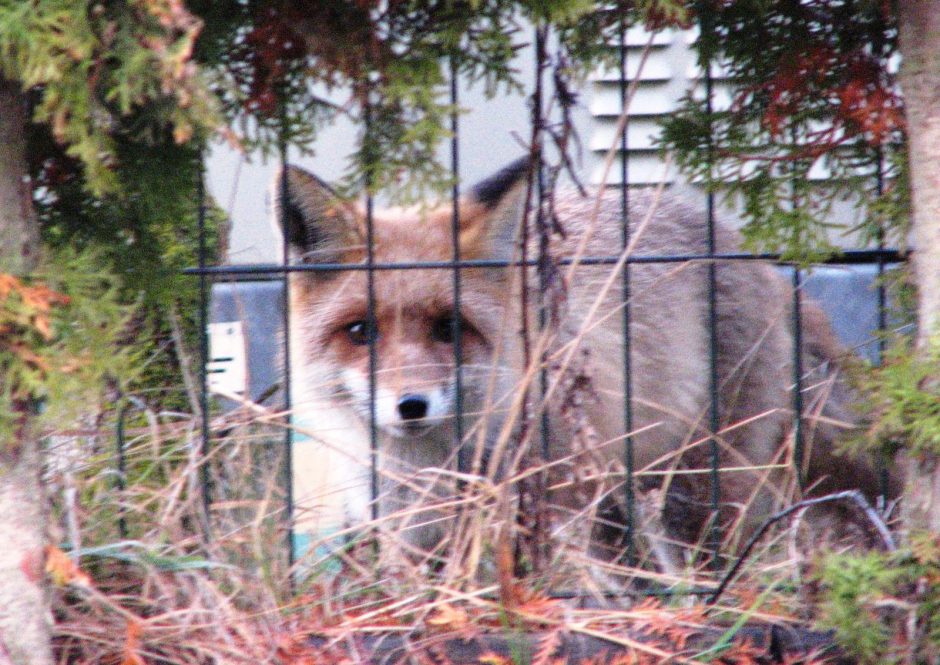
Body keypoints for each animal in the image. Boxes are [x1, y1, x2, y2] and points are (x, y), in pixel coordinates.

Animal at [276, 158, 892, 568]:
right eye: (361, 332)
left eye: (448, 329)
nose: (410, 406)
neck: (432, 466)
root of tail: (748, 250)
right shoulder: (409, 533)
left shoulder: (556, 505)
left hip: (696, 485)